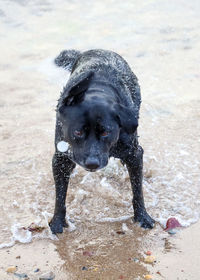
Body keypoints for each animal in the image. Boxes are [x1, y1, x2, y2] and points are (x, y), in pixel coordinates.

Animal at [49, 49, 155, 233]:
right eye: (78, 131)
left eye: (106, 132)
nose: (92, 163)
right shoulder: (60, 158)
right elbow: (60, 195)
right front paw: (57, 222)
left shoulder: (135, 154)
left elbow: (137, 190)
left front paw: (142, 216)